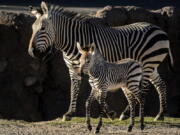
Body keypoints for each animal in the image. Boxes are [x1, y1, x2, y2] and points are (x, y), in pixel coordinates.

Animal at [27, 1, 173, 121]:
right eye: (32, 29)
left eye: (42, 29)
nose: (31, 52)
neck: (73, 43)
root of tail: (160, 30)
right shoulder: (73, 69)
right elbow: (74, 89)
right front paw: (69, 113)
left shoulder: (95, 69)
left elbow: (97, 93)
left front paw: (110, 113)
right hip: (151, 65)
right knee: (161, 84)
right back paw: (161, 114)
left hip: (148, 64)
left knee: (143, 88)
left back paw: (126, 113)